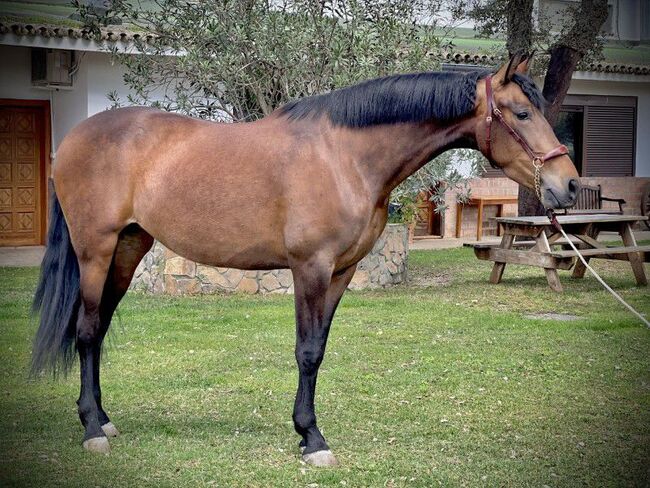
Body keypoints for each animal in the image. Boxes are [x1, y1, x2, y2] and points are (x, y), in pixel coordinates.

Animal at [30, 52, 576, 466]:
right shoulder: (309, 267)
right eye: (522, 114)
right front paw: (312, 439)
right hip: (96, 251)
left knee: (98, 330)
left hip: (128, 247)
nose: (567, 185)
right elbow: (307, 351)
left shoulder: (341, 271)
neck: (346, 157)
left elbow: (320, 350)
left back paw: (103, 420)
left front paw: (306, 431)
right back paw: (91, 430)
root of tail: (74, 138)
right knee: (86, 332)